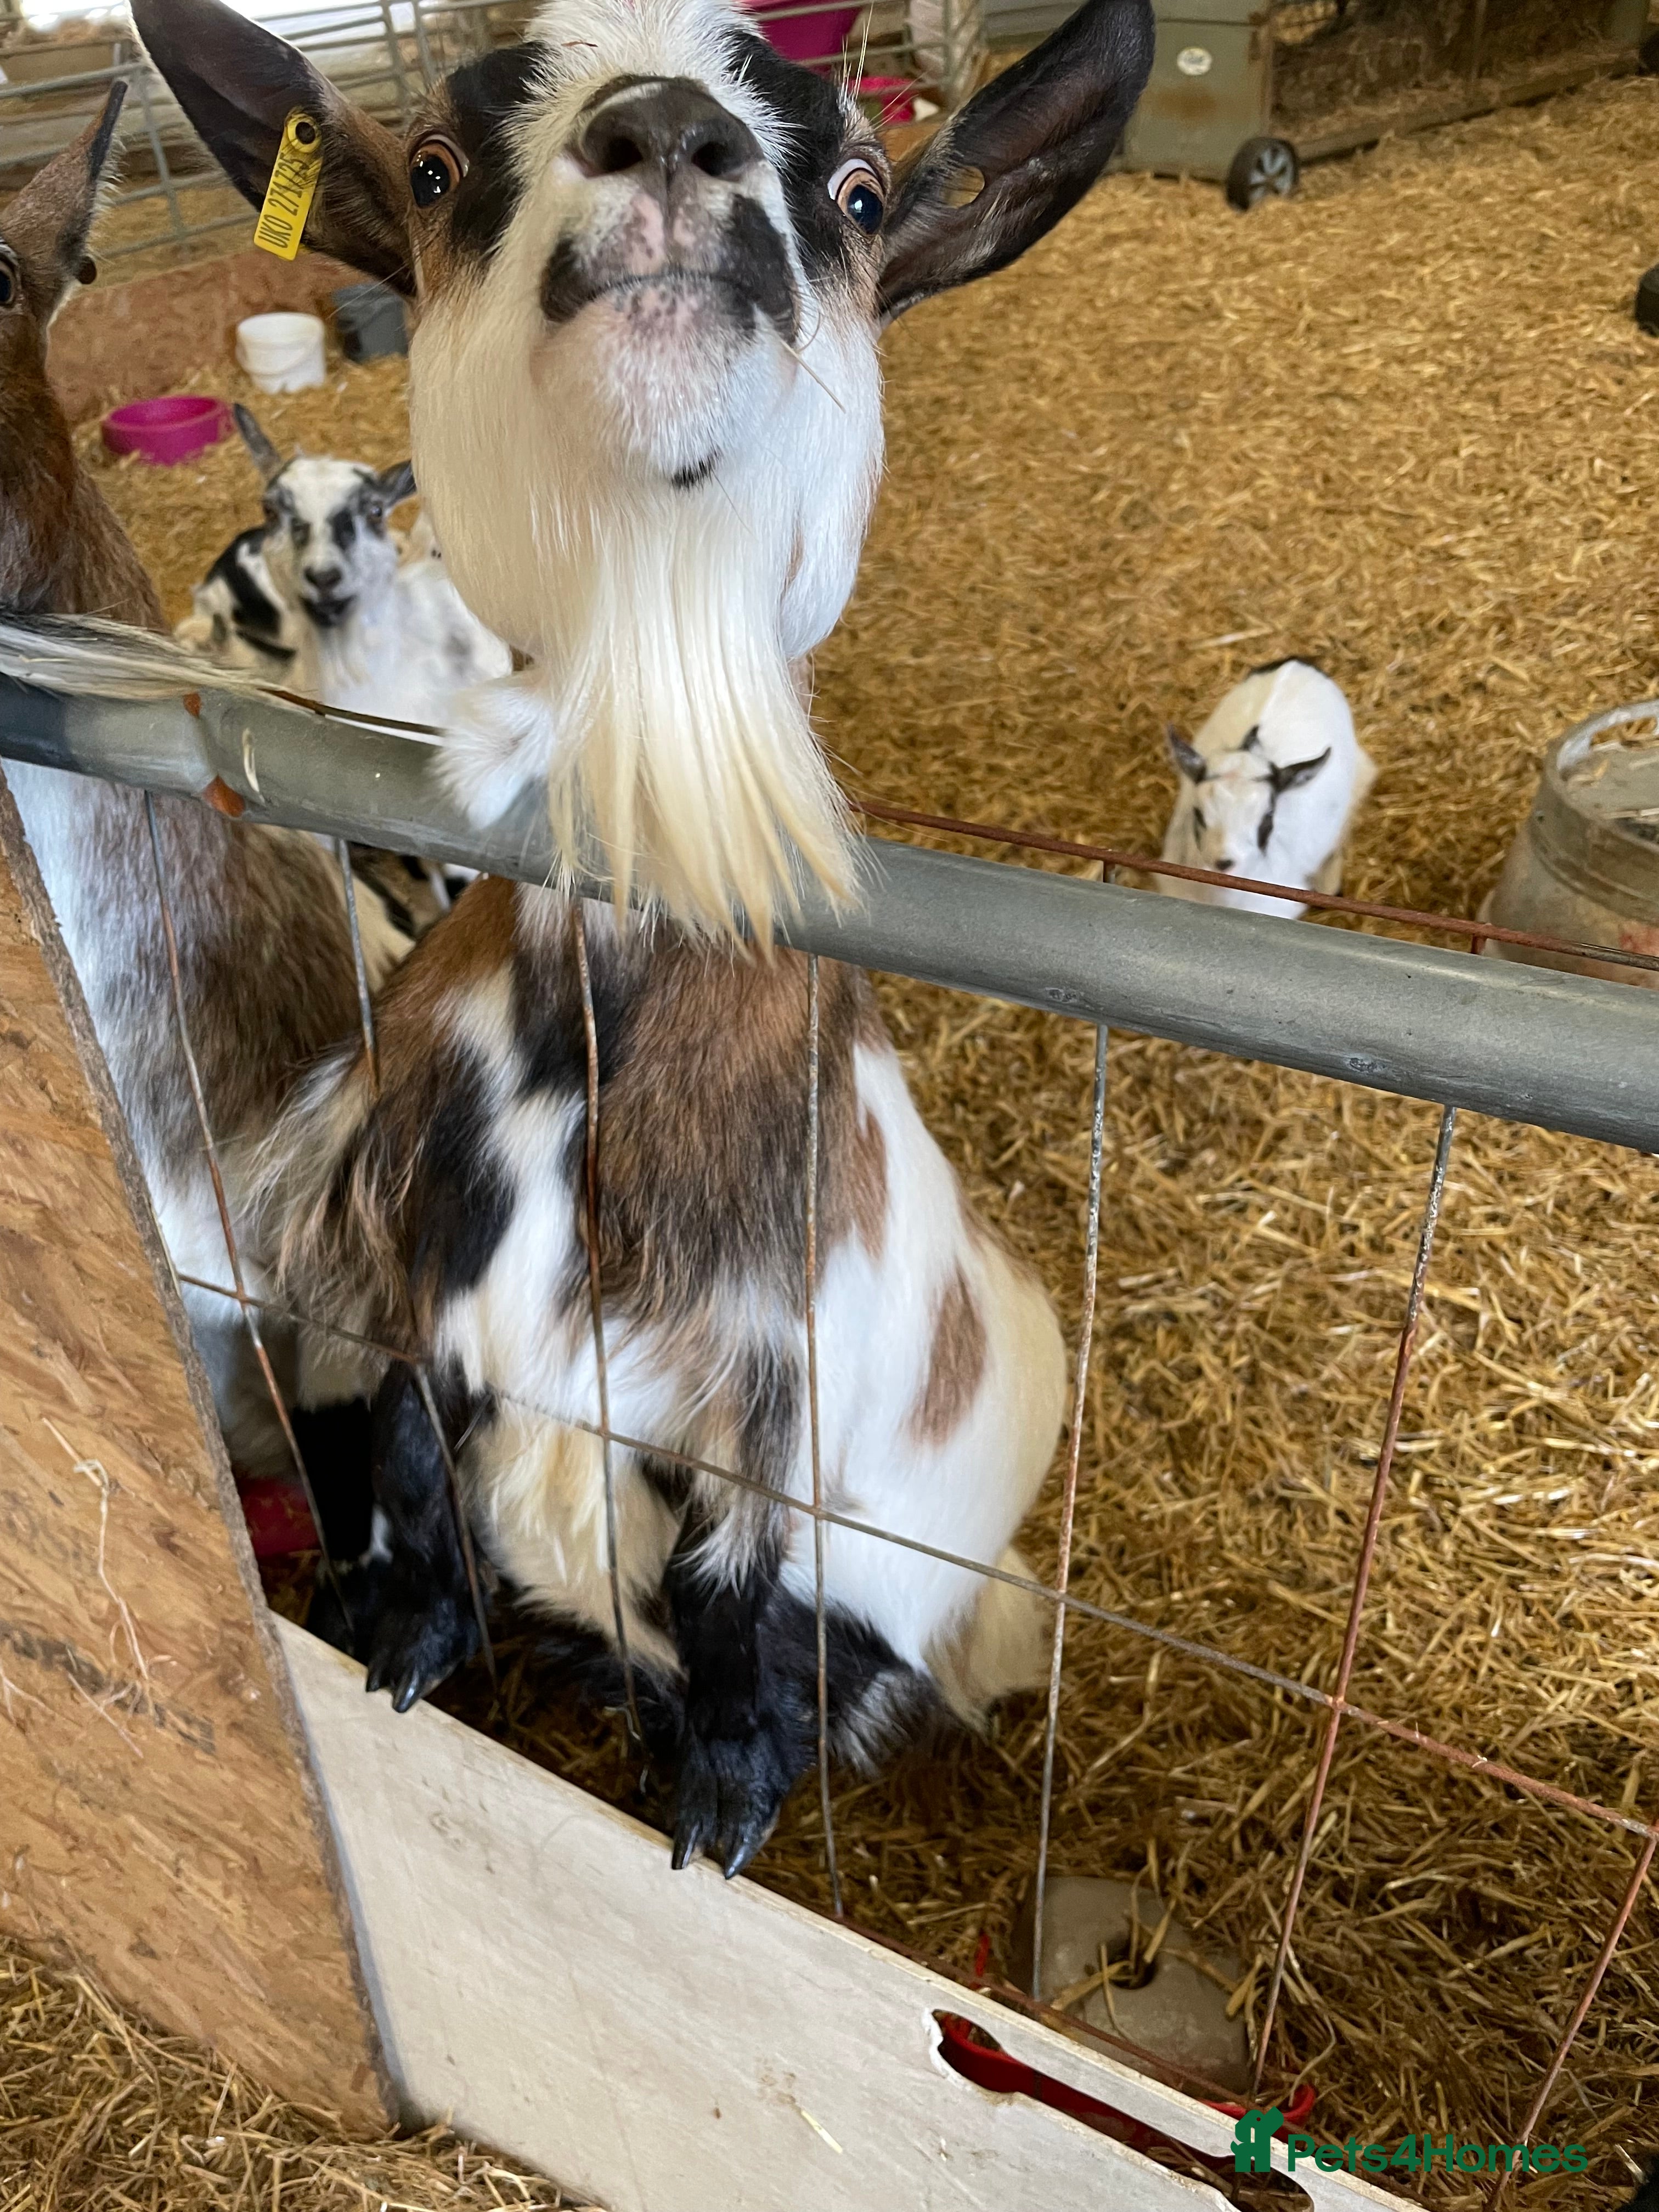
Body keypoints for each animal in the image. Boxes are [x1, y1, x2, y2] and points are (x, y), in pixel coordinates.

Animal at [129, 0, 1154, 1877]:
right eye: (438, 166)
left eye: (863, 188)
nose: (671, 136)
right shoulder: (402, 1306)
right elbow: (410, 1490)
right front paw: (404, 1660)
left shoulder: (790, 1432)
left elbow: (742, 1635)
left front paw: (718, 1827)